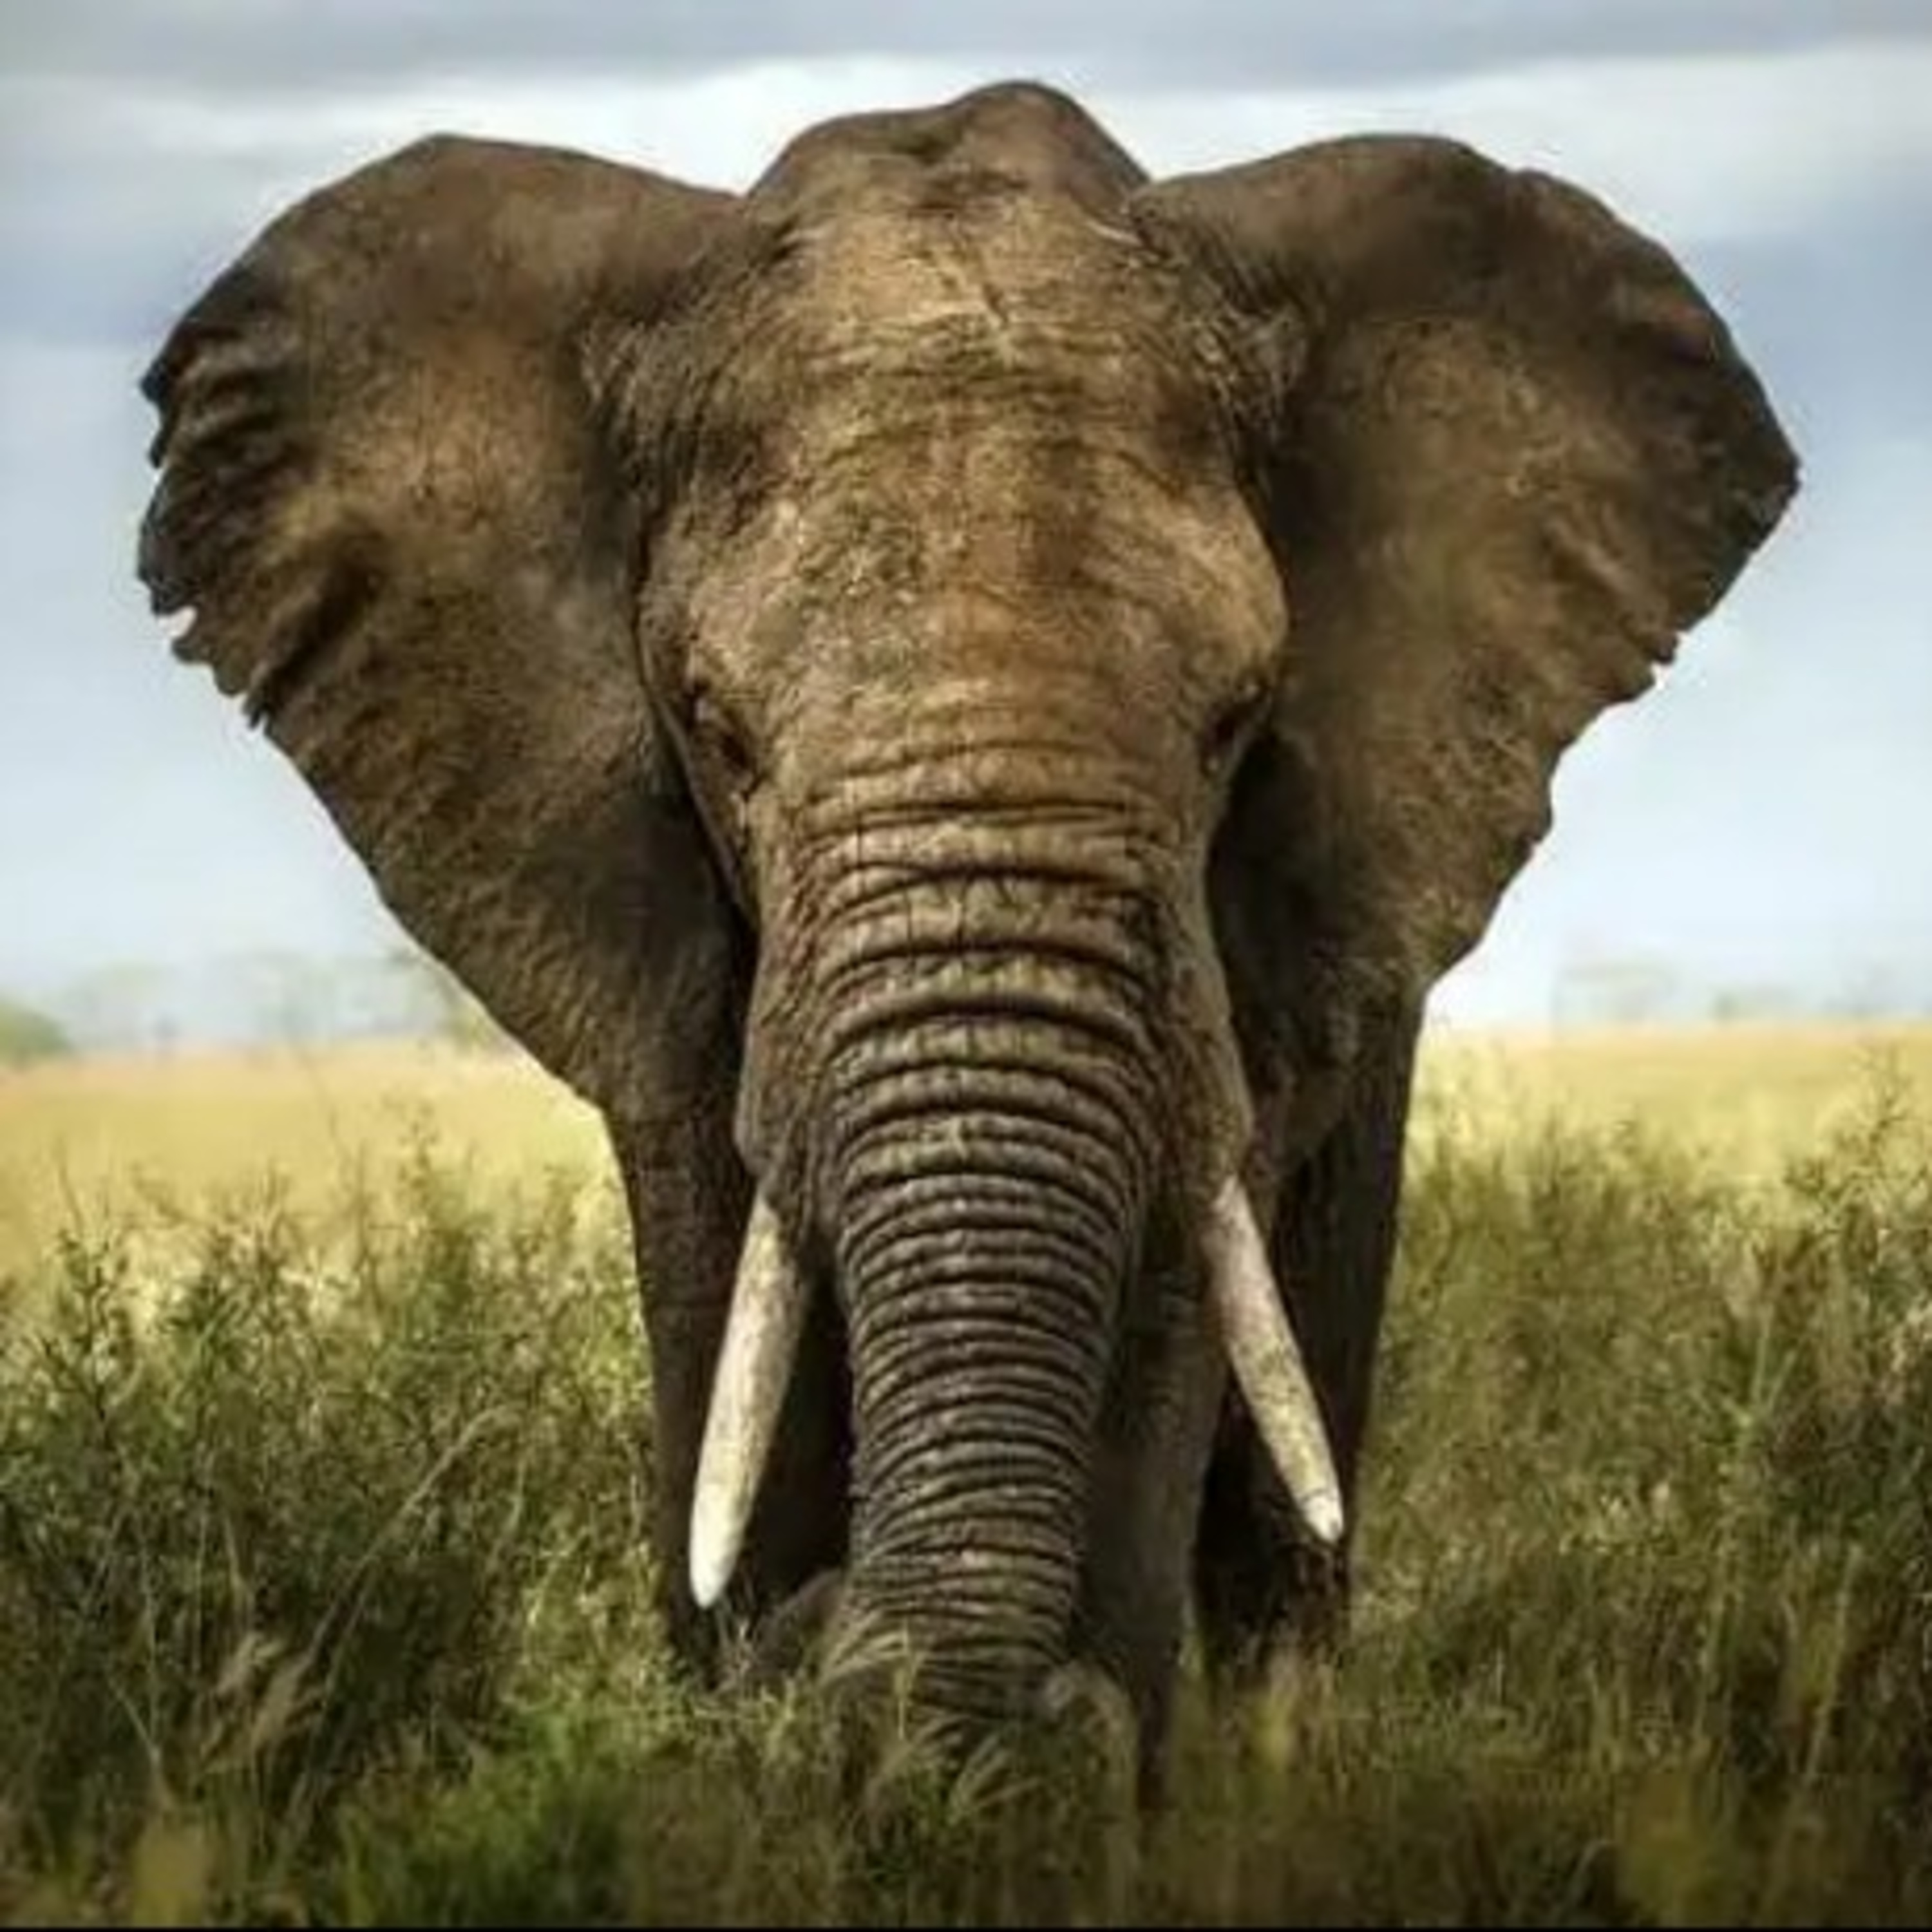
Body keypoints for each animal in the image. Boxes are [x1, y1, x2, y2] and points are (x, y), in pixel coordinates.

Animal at [134, 79, 1796, 1777]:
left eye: (1235, 722)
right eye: (716, 731)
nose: (843, 1650)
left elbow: (1172, 1284)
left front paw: (1042, 1762)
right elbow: (728, 1295)